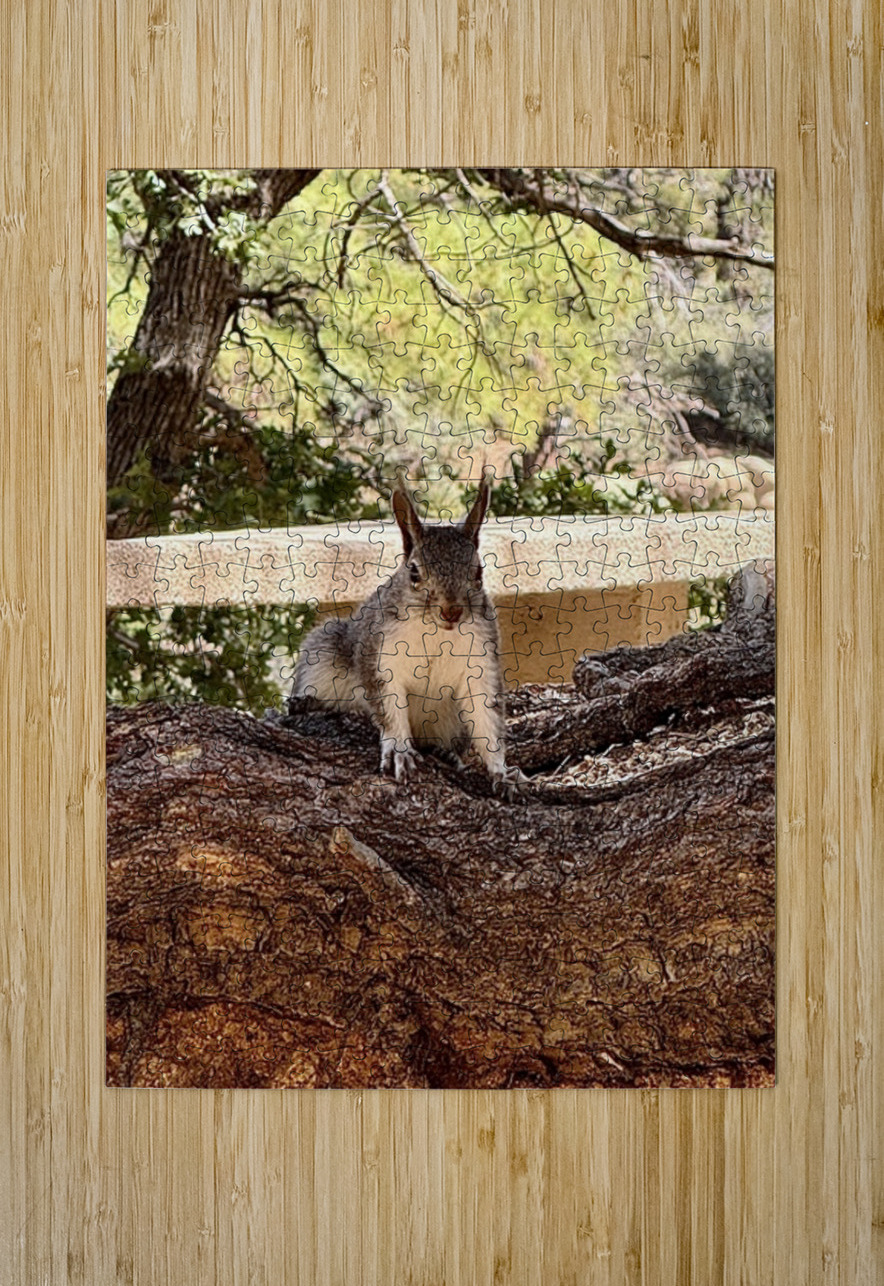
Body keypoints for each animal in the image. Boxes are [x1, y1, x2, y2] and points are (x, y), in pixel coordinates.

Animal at [290, 474, 524, 795]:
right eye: (413, 572)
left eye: (478, 572)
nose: (451, 611)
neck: (435, 632)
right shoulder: (379, 656)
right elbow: (388, 709)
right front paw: (399, 750)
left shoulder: (480, 660)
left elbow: (486, 717)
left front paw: (501, 771)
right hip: (322, 652)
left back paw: (445, 753)